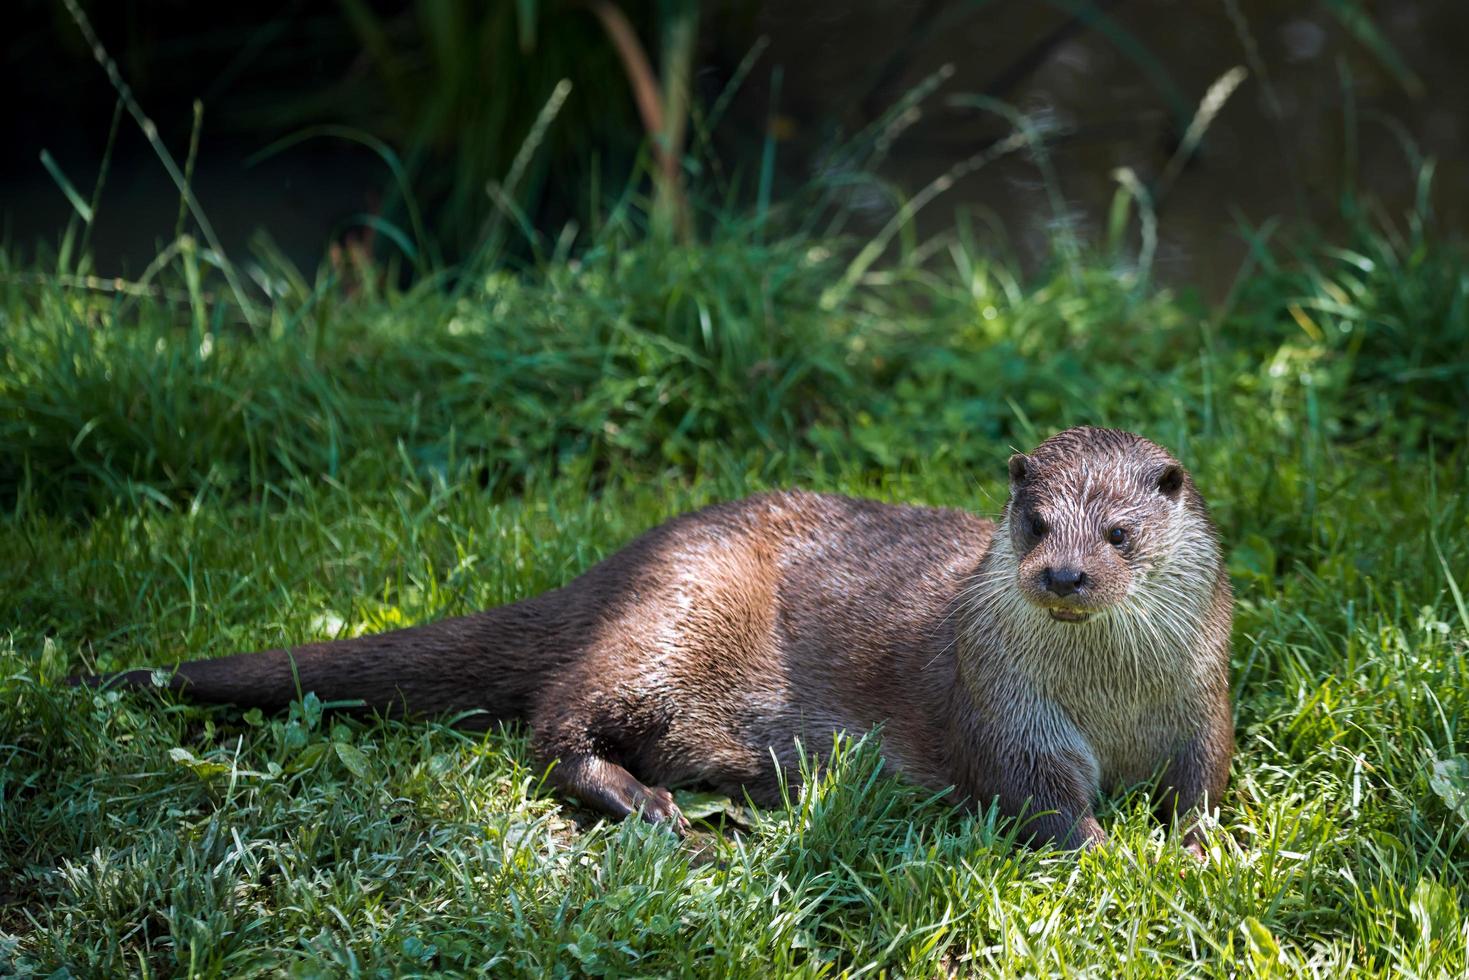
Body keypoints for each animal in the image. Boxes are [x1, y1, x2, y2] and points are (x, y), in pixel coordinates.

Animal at [80, 429, 1228, 852]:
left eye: (1117, 532)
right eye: (1033, 523)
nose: (1063, 574)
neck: (1109, 701)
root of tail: (625, 560)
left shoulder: (1201, 701)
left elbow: (1202, 778)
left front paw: (1198, 840)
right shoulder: (1004, 712)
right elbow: (1040, 800)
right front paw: (1114, 849)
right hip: (668, 624)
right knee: (554, 728)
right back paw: (652, 808)